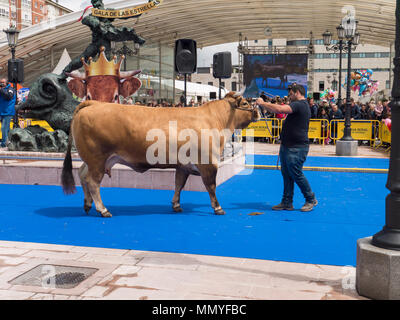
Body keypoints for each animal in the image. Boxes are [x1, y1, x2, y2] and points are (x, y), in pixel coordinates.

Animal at [60, 92, 258, 218]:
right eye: (245, 104)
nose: (257, 112)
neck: (215, 120)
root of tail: (93, 103)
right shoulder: (208, 163)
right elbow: (211, 186)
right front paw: (218, 208)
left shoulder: (183, 165)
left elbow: (179, 184)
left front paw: (176, 205)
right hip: (98, 159)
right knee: (93, 182)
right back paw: (103, 210)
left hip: (93, 160)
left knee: (82, 175)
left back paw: (87, 205)